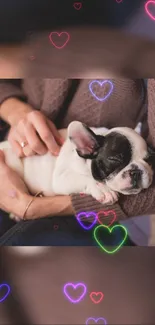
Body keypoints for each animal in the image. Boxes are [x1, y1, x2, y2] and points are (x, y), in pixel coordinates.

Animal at [0, 120, 154, 209]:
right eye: (115, 159)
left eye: (149, 159)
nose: (136, 171)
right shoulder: (61, 178)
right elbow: (84, 178)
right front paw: (104, 189)